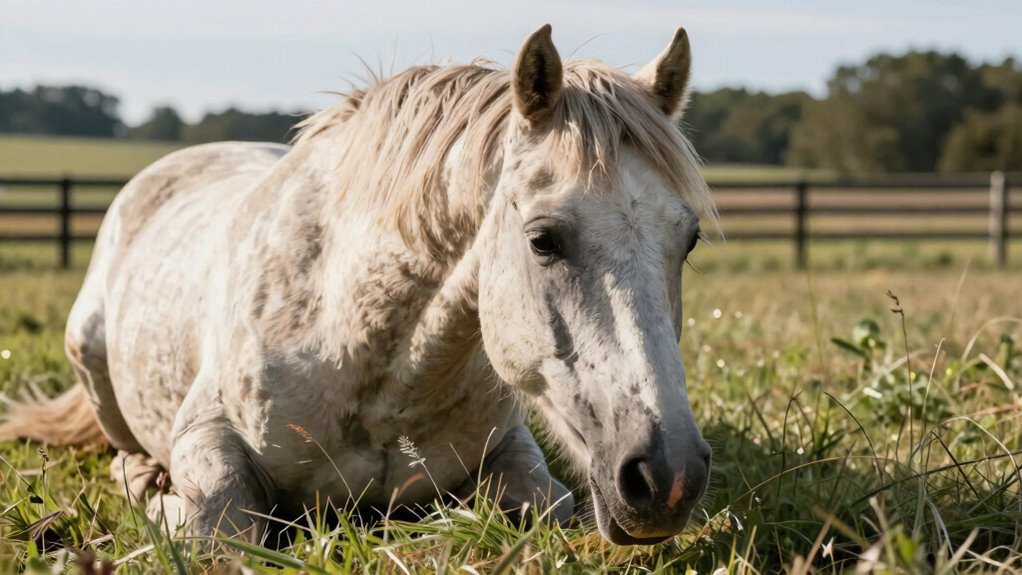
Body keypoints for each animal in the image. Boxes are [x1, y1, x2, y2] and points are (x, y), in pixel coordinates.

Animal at [1, 24, 717, 545]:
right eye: (544, 239)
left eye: (688, 241)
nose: (668, 476)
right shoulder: (208, 438)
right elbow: (218, 527)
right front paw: (162, 503)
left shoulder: (514, 450)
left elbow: (549, 504)